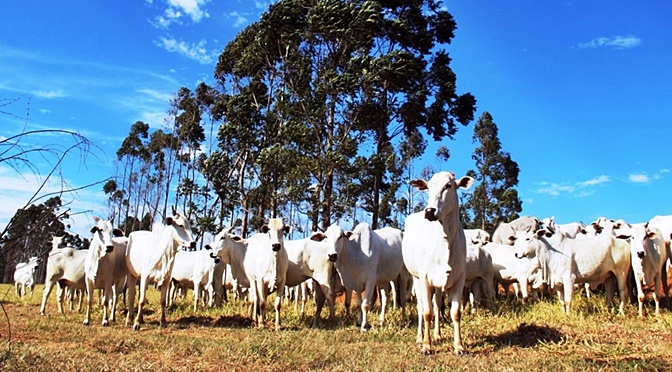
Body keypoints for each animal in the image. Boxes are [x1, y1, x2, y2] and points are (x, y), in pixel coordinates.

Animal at [402, 171, 476, 354]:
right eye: (428, 187)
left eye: (449, 185)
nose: (429, 211)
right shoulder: (424, 278)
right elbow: (427, 312)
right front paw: (426, 346)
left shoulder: (458, 279)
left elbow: (455, 312)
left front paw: (459, 346)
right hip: (416, 278)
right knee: (422, 307)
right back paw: (420, 337)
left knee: (437, 305)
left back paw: (437, 334)